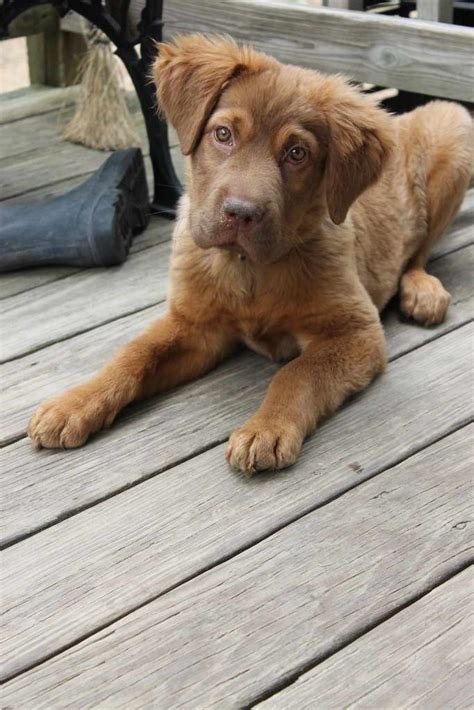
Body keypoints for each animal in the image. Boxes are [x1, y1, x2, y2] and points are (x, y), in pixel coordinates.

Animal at [26, 36, 474, 476]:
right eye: (223, 134)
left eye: (297, 154)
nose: (241, 213)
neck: (247, 268)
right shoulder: (196, 326)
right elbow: (135, 353)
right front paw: (77, 402)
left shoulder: (355, 331)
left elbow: (298, 373)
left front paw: (267, 428)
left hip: (455, 133)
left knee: (418, 254)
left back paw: (422, 291)